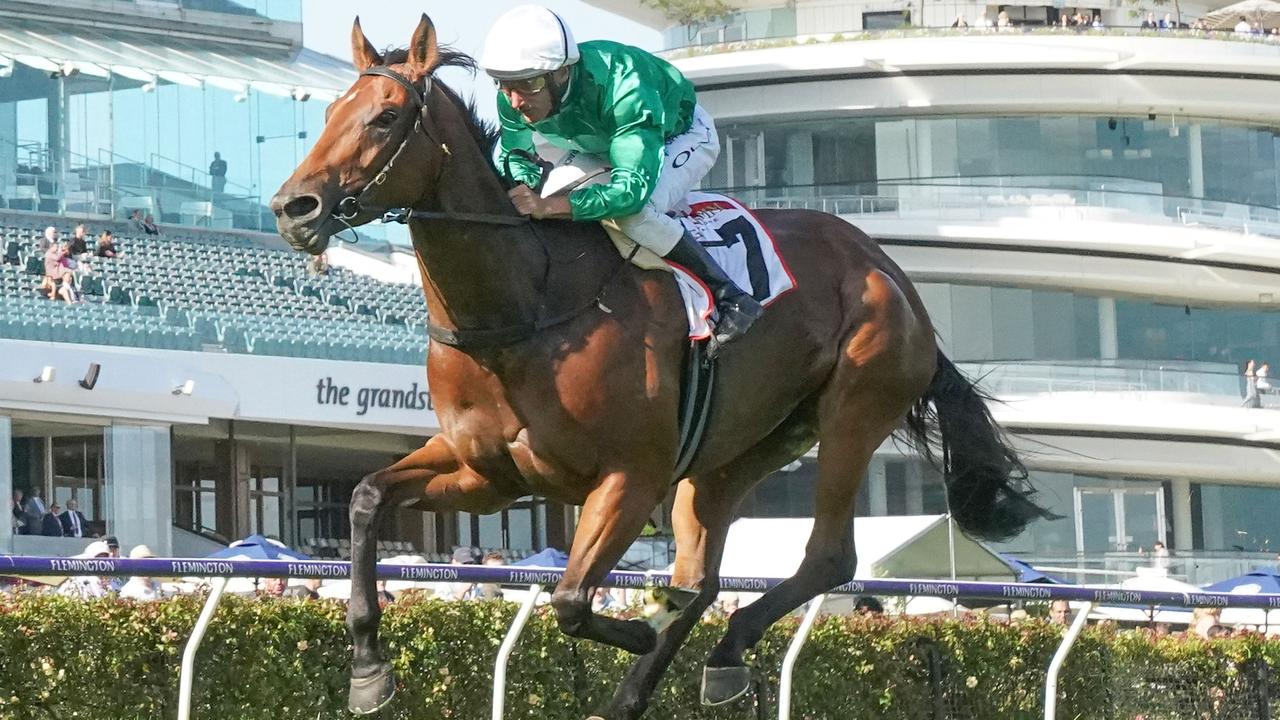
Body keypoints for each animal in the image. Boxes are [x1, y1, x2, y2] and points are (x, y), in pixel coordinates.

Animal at [270, 15, 1049, 717]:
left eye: (385, 117)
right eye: (330, 112)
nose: (292, 206)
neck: (523, 306)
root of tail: (892, 272)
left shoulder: (630, 476)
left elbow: (570, 600)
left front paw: (639, 628)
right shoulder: (488, 474)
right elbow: (367, 498)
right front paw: (368, 671)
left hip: (853, 411)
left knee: (826, 558)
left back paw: (719, 646)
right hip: (737, 451)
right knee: (702, 577)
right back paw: (668, 673)